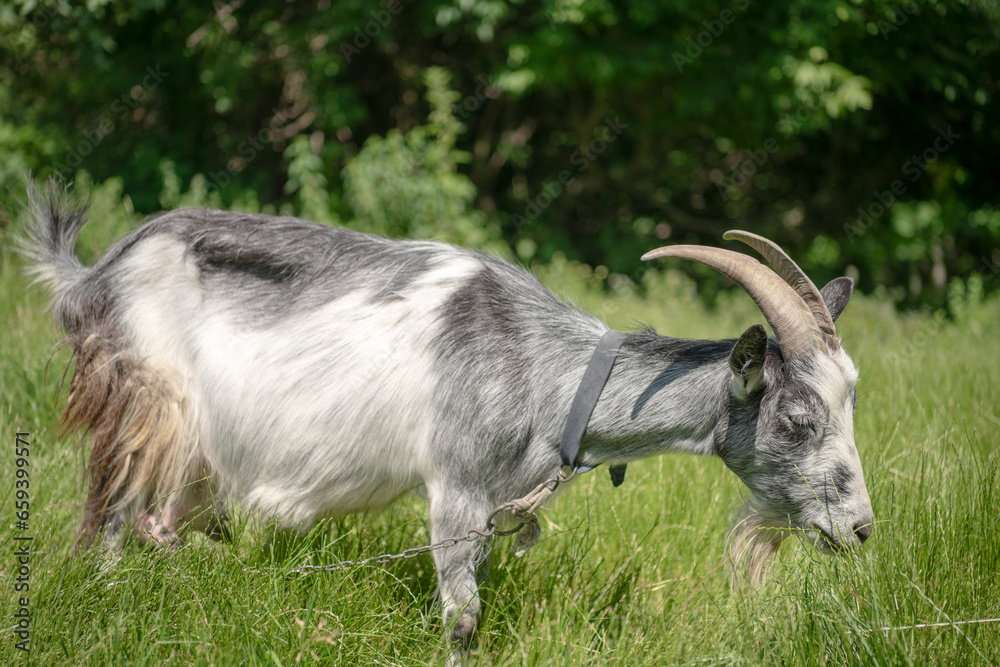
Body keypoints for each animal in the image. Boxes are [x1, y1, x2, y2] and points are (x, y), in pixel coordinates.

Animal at [21, 181, 873, 657]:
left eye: (852, 398)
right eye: (797, 416)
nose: (862, 526)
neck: (548, 368)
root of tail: (89, 275)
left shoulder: (496, 503)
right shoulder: (456, 486)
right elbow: (463, 618)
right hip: (146, 399)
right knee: (109, 518)